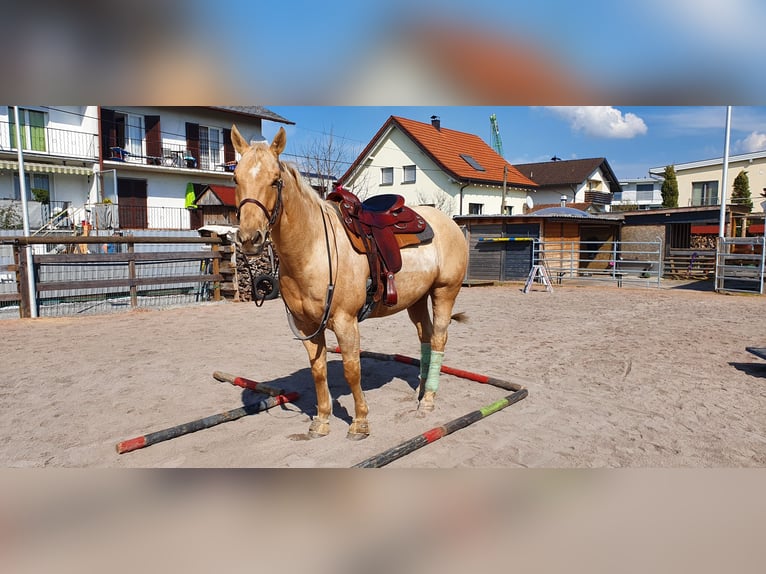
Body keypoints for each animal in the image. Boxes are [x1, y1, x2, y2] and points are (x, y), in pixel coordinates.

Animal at [230, 126, 468, 440]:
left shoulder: (345, 322)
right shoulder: (307, 326)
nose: (249, 239)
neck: (314, 248)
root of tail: (449, 222)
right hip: (416, 298)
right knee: (425, 338)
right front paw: (321, 420)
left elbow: (351, 370)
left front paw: (360, 422)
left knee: (439, 338)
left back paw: (427, 400)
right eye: (236, 179)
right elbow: (318, 371)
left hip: (445, 292)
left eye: (275, 180)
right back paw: (420, 390)